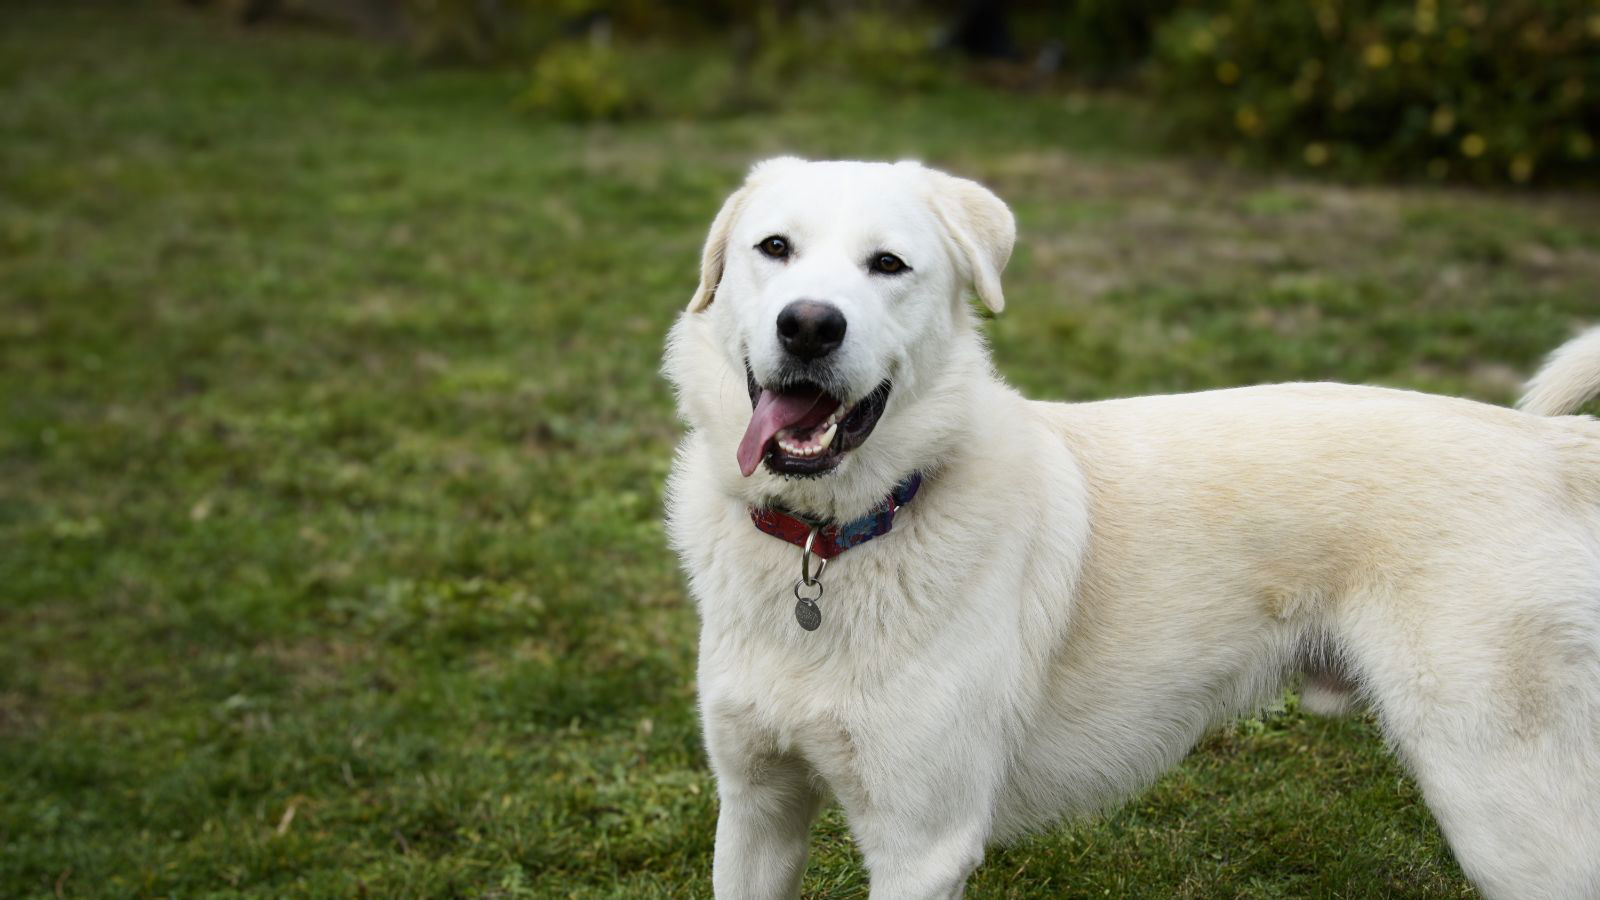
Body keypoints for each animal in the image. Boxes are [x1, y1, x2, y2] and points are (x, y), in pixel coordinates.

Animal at [659, 157, 1600, 890]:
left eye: (887, 264)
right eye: (774, 249)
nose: (810, 325)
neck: (830, 544)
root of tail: (1553, 445)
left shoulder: (919, 845)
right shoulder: (756, 811)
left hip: (1503, 811)